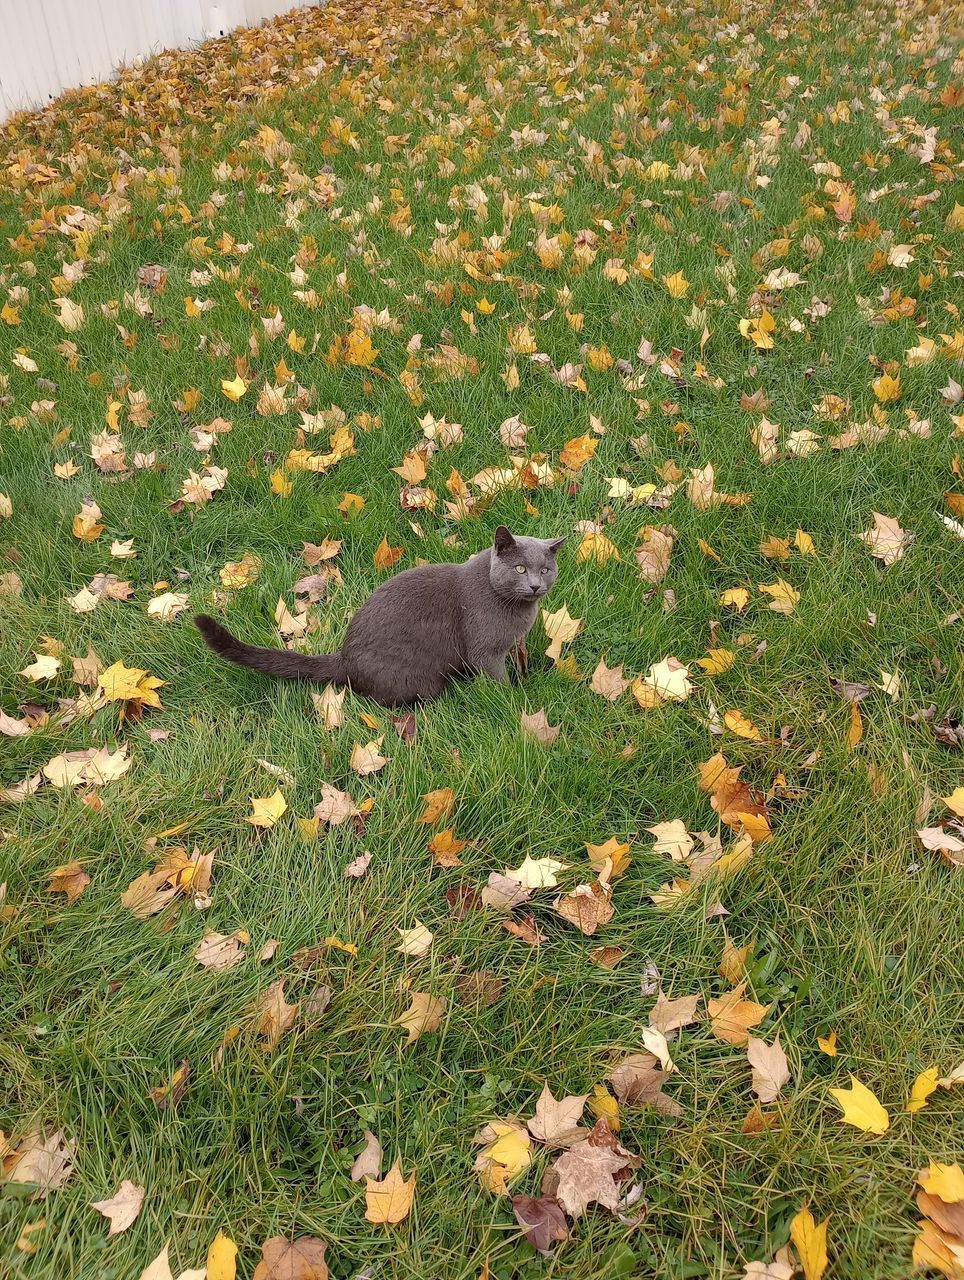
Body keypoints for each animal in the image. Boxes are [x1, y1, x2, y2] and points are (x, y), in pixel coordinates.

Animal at [194, 522, 563, 711]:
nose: (535, 585)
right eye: (520, 568)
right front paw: (514, 701)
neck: (516, 608)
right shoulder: (485, 651)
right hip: (415, 678)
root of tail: (344, 657)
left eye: (546, 570)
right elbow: (497, 679)